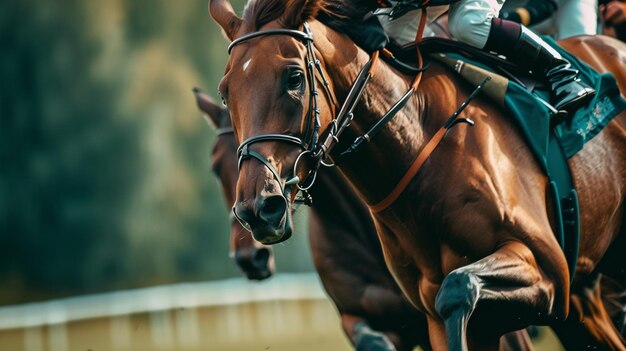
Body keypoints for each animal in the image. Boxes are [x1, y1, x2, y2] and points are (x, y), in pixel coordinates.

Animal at [208, 0, 624, 350]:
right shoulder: (426, 313)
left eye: (293, 77)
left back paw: (569, 81)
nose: (258, 209)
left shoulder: (548, 272)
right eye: (227, 91)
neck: (419, 142)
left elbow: (458, 287)